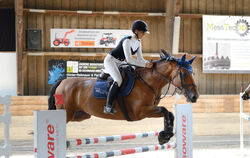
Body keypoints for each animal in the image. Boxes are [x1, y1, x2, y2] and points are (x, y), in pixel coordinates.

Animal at [47, 49, 199, 144]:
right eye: (184, 74)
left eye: (193, 73)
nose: (194, 97)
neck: (148, 82)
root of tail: (62, 82)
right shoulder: (140, 112)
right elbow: (164, 110)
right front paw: (164, 135)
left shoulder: (148, 110)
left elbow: (169, 113)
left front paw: (165, 134)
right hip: (67, 112)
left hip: (80, 114)